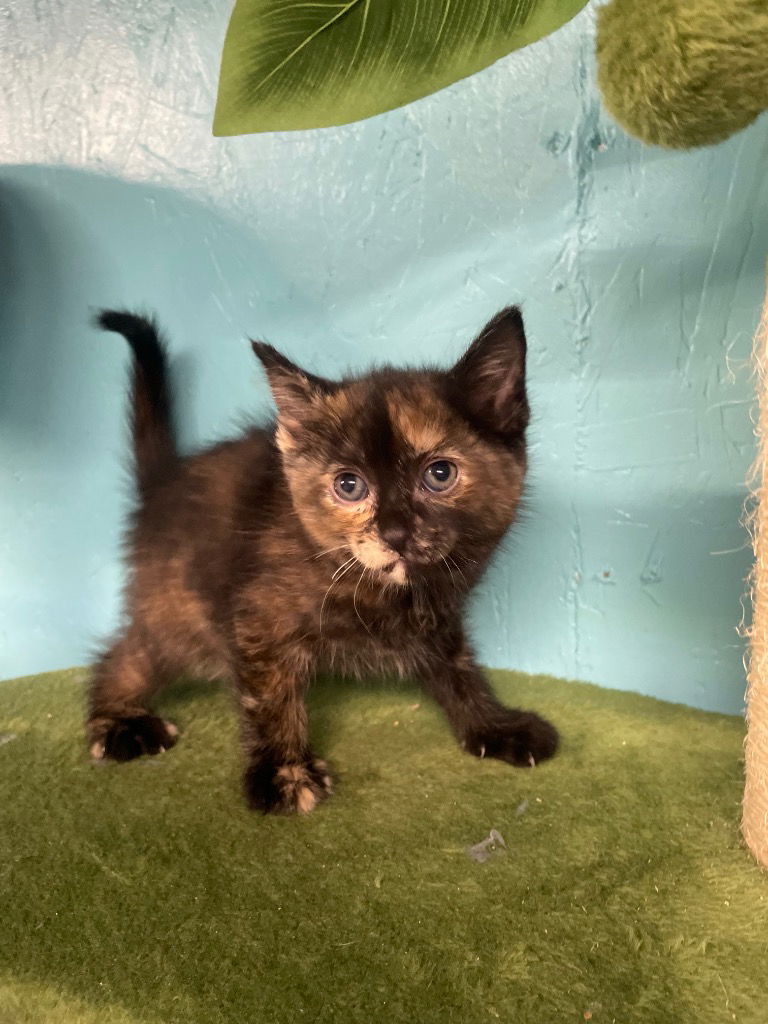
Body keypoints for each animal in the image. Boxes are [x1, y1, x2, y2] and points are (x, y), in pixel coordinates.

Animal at [87, 306, 558, 814]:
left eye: (439, 474)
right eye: (349, 486)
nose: (395, 533)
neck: (387, 592)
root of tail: (164, 482)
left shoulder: (438, 616)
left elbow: (460, 669)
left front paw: (493, 725)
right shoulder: (258, 618)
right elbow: (270, 696)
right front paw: (284, 770)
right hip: (178, 613)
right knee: (127, 655)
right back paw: (120, 720)